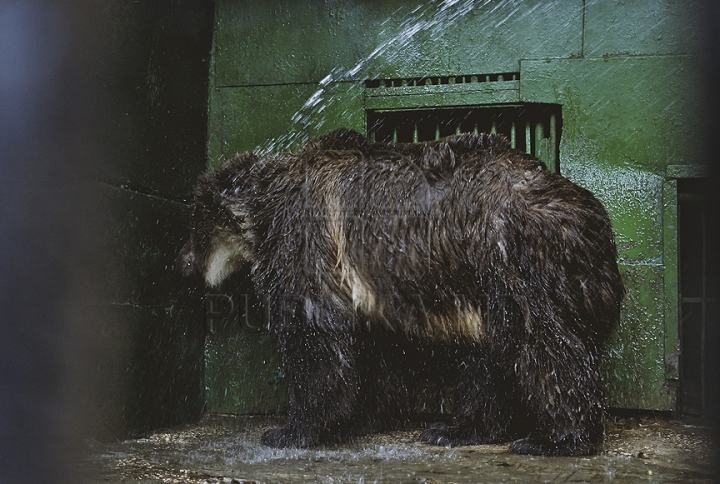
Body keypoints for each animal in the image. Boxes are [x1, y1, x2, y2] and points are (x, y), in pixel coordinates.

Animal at [179, 127, 624, 454]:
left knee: (545, 345)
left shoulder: (306, 241)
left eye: (196, 223)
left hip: (515, 261)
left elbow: (316, 336)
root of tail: (596, 225)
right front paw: (357, 417)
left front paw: (289, 430)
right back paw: (455, 428)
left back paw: (554, 438)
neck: (265, 208)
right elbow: (372, 351)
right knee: (486, 355)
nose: (180, 262)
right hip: (474, 280)